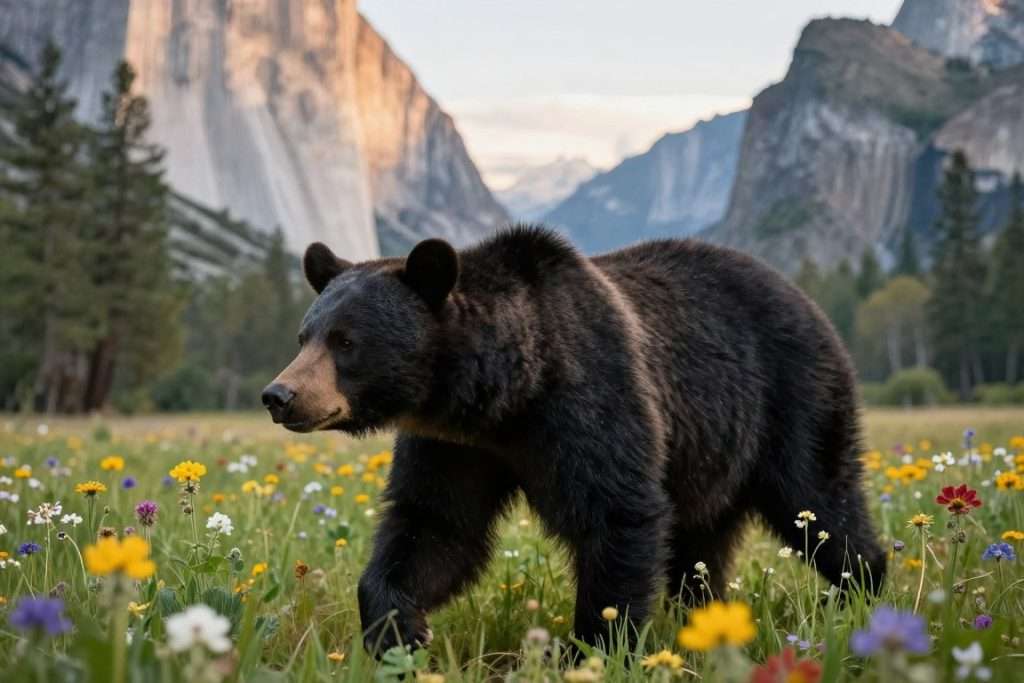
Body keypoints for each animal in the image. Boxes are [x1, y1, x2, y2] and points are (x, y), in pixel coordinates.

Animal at [262, 225, 886, 654]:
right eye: (305, 335)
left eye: (346, 341)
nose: (279, 395)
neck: (504, 396)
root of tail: (804, 298)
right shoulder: (457, 447)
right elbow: (435, 527)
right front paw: (399, 631)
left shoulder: (590, 401)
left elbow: (617, 513)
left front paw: (593, 647)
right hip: (710, 455)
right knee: (700, 548)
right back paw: (704, 617)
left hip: (791, 398)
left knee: (820, 500)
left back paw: (856, 591)